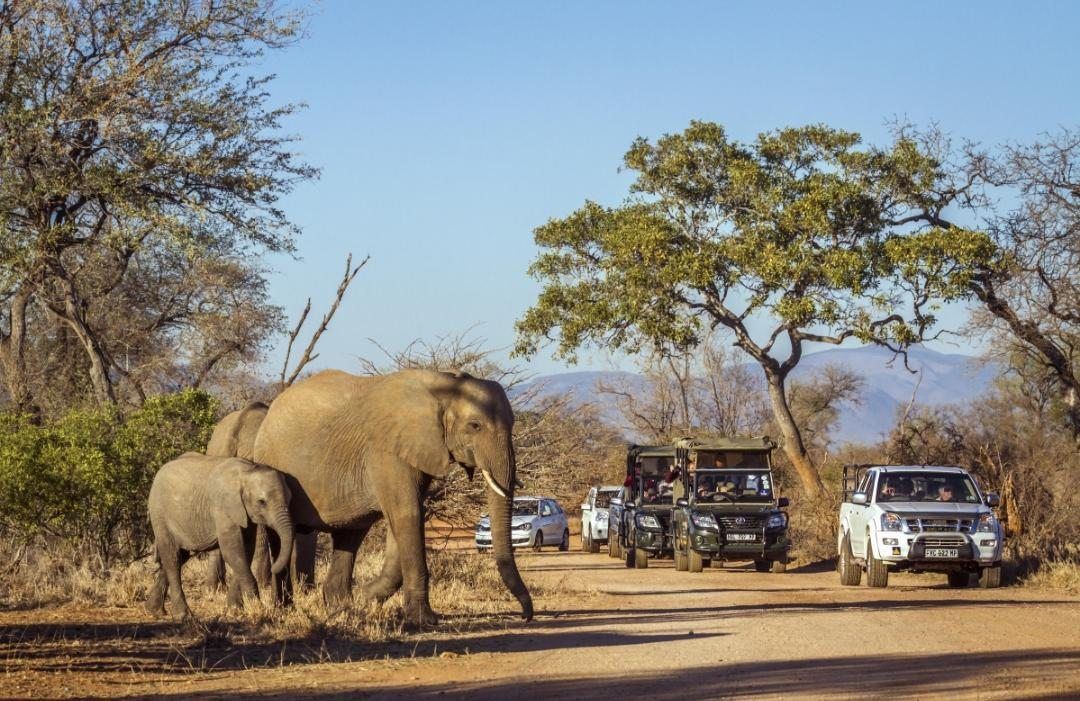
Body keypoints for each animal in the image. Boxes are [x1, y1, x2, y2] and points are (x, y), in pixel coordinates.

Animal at [145, 453, 294, 620]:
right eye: (262, 502)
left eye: (290, 499)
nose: (274, 569)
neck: (247, 472)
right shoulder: (223, 508)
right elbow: (232, 552)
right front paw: (258, 609)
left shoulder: (244, 513)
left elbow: (245, 551)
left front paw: (234, 610)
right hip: (160, 514)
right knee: (173, 558)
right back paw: (183, 615)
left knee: (179, 557)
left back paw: (154, 610)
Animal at [252, 368, 533, 625]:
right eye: (475, 425)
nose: (525, 616)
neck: (444, 385)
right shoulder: (387, 451)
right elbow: (408, 513)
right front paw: (423, 620)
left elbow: (407, 516)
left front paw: (365, 598)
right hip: (270, 464)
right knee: (281, 536)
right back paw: (286, 608)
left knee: (350, 534)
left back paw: (341, 608)